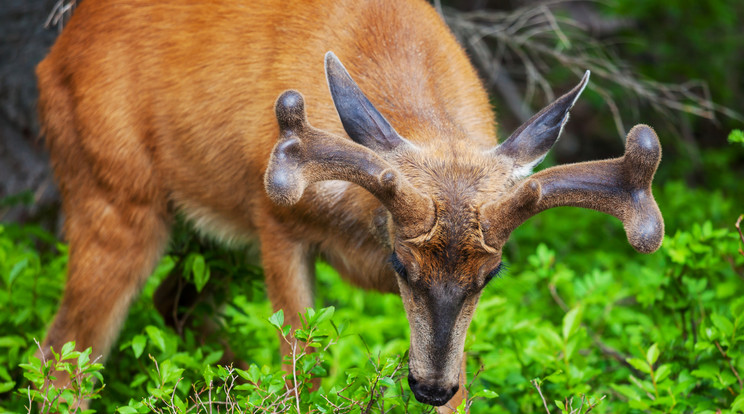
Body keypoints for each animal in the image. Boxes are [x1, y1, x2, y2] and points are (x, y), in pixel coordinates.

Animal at [35, 0, 664, 410]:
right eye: (402, 265)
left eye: (492, 275)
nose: (428, 387)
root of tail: (56, 51)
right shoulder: (275, 219)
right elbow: (300, 374)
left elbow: (463, 388)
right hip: (114, 193)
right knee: (59, 358)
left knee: (170, 306)